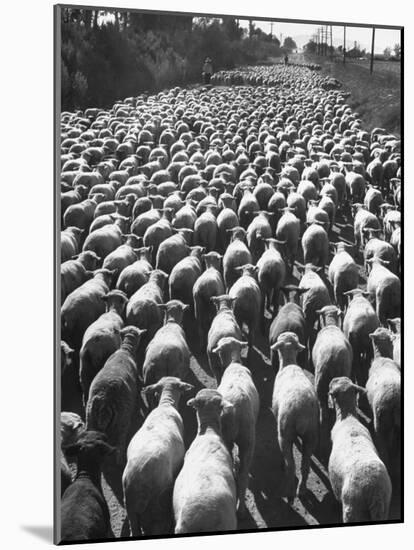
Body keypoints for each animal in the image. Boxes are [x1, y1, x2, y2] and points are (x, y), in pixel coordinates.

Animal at [123, 378, 194, 536]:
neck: (166, 404)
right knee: (157, 524)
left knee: (135, 529)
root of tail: (138, 481)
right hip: (157, 501)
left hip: (130, 507)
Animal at [270, 332, 318, 504]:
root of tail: (301, 413)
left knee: (291, 466)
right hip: (311, 434)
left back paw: (289, 492)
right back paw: (301, 490)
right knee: (305, 466)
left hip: (285, 432)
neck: (289, 363)